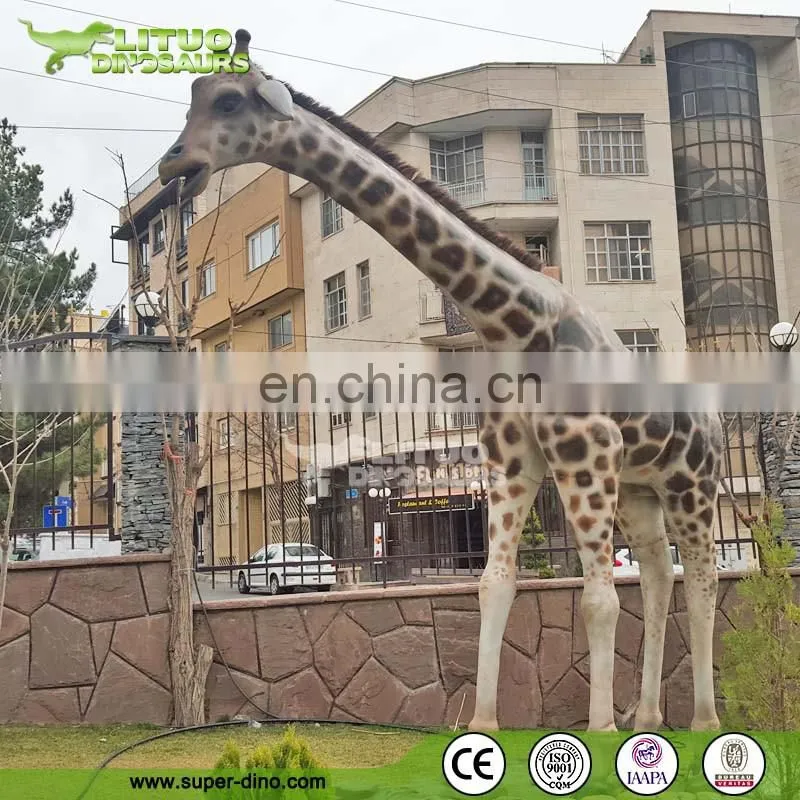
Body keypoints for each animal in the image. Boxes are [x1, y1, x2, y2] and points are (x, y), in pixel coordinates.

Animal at [158, 30, 724, 733]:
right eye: (193, 97)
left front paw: (597, 732)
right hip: (641, 489)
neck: (516, 323)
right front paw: (483, 725)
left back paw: (703, 722)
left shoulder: (585, 452)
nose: (172, 167)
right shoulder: (515, 460)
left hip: (690, 484)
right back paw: (647, 718)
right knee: (656, 574)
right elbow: (493, 585)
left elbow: (596, 599)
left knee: (701, 579)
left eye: (230, 101)